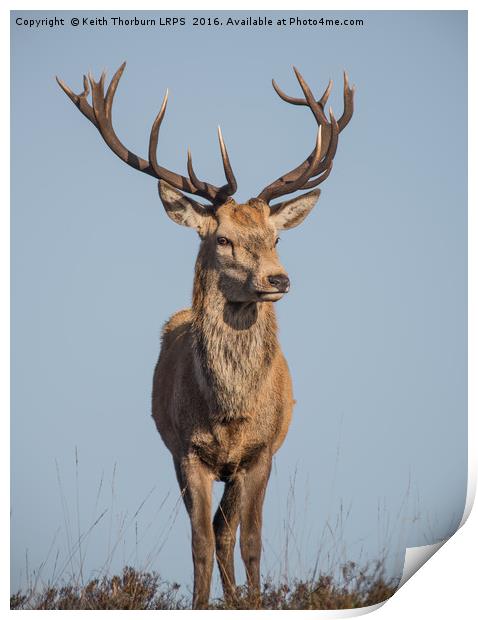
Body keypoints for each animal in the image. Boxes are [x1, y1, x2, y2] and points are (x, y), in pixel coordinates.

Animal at [57, 65, 354, 608]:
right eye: (223, 238)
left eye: (276, 236)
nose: (278, 279)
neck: (229, 414)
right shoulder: (186, 452)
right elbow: (197, 539)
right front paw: (201, 602)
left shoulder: (261, 452)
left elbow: (250, 538)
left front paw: (255, 601)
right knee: (215, 529)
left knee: (227, 529)